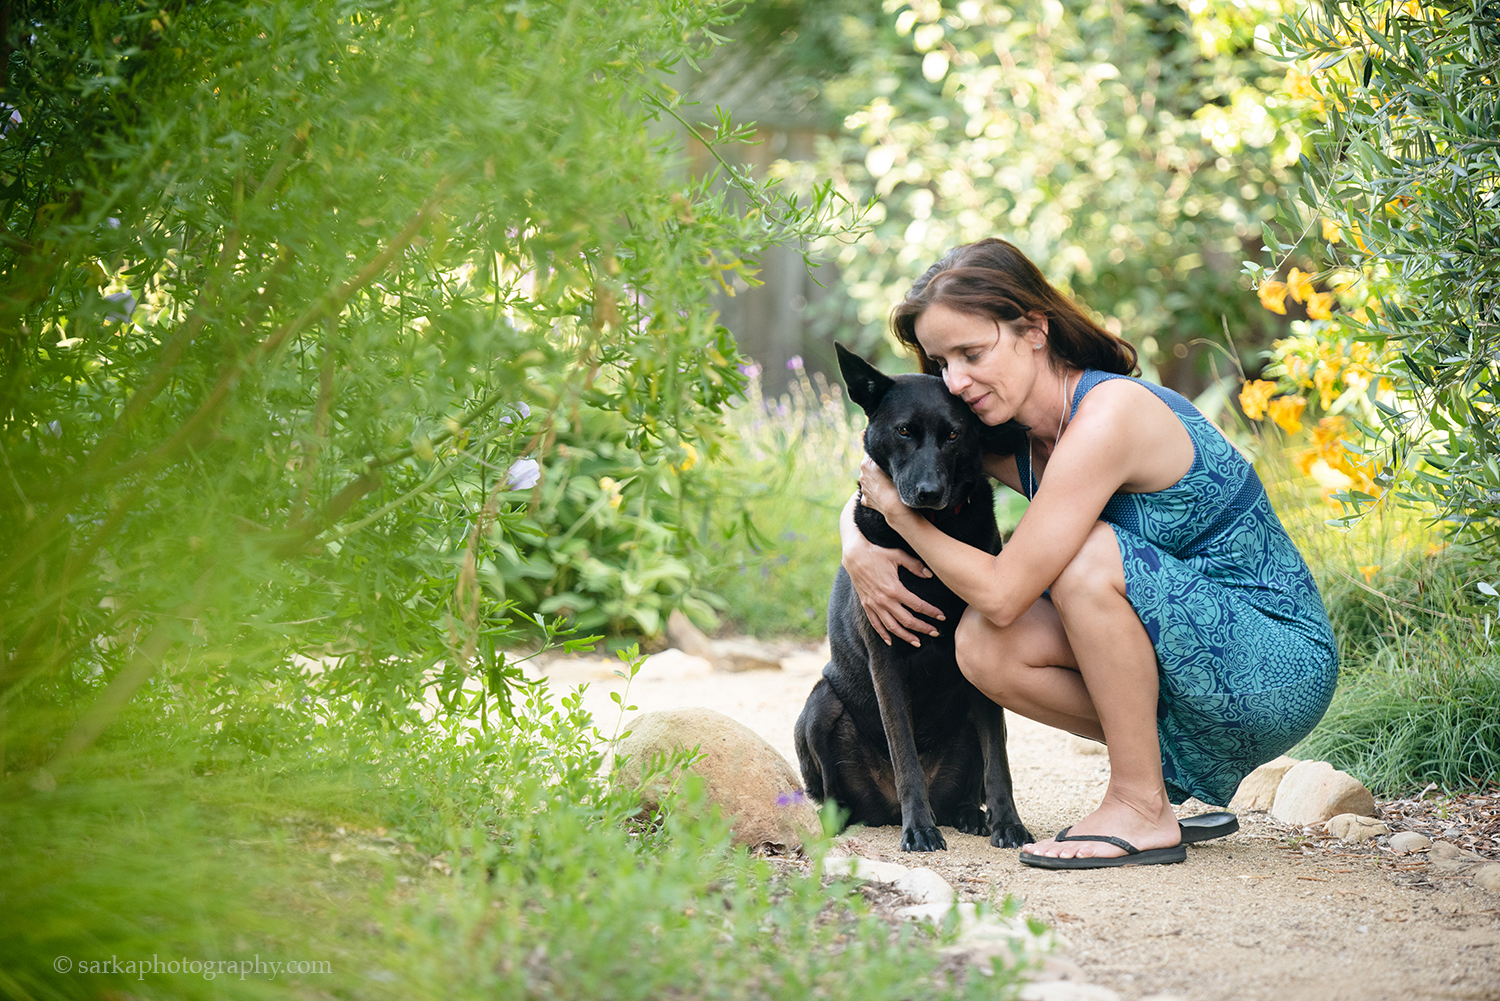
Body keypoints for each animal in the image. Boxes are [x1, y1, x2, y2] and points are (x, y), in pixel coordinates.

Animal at [798, 345, 1032, 852]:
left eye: (954, 435)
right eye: (904, 431)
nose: (928, 493)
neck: (931, 536)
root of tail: (882, 811)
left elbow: (999, 761)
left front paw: (1008, 823)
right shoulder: (885, 659)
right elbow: (903, 750)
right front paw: (920, 828)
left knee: (972, 780)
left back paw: (969, 815)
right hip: (820, 703)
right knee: (832, 793)